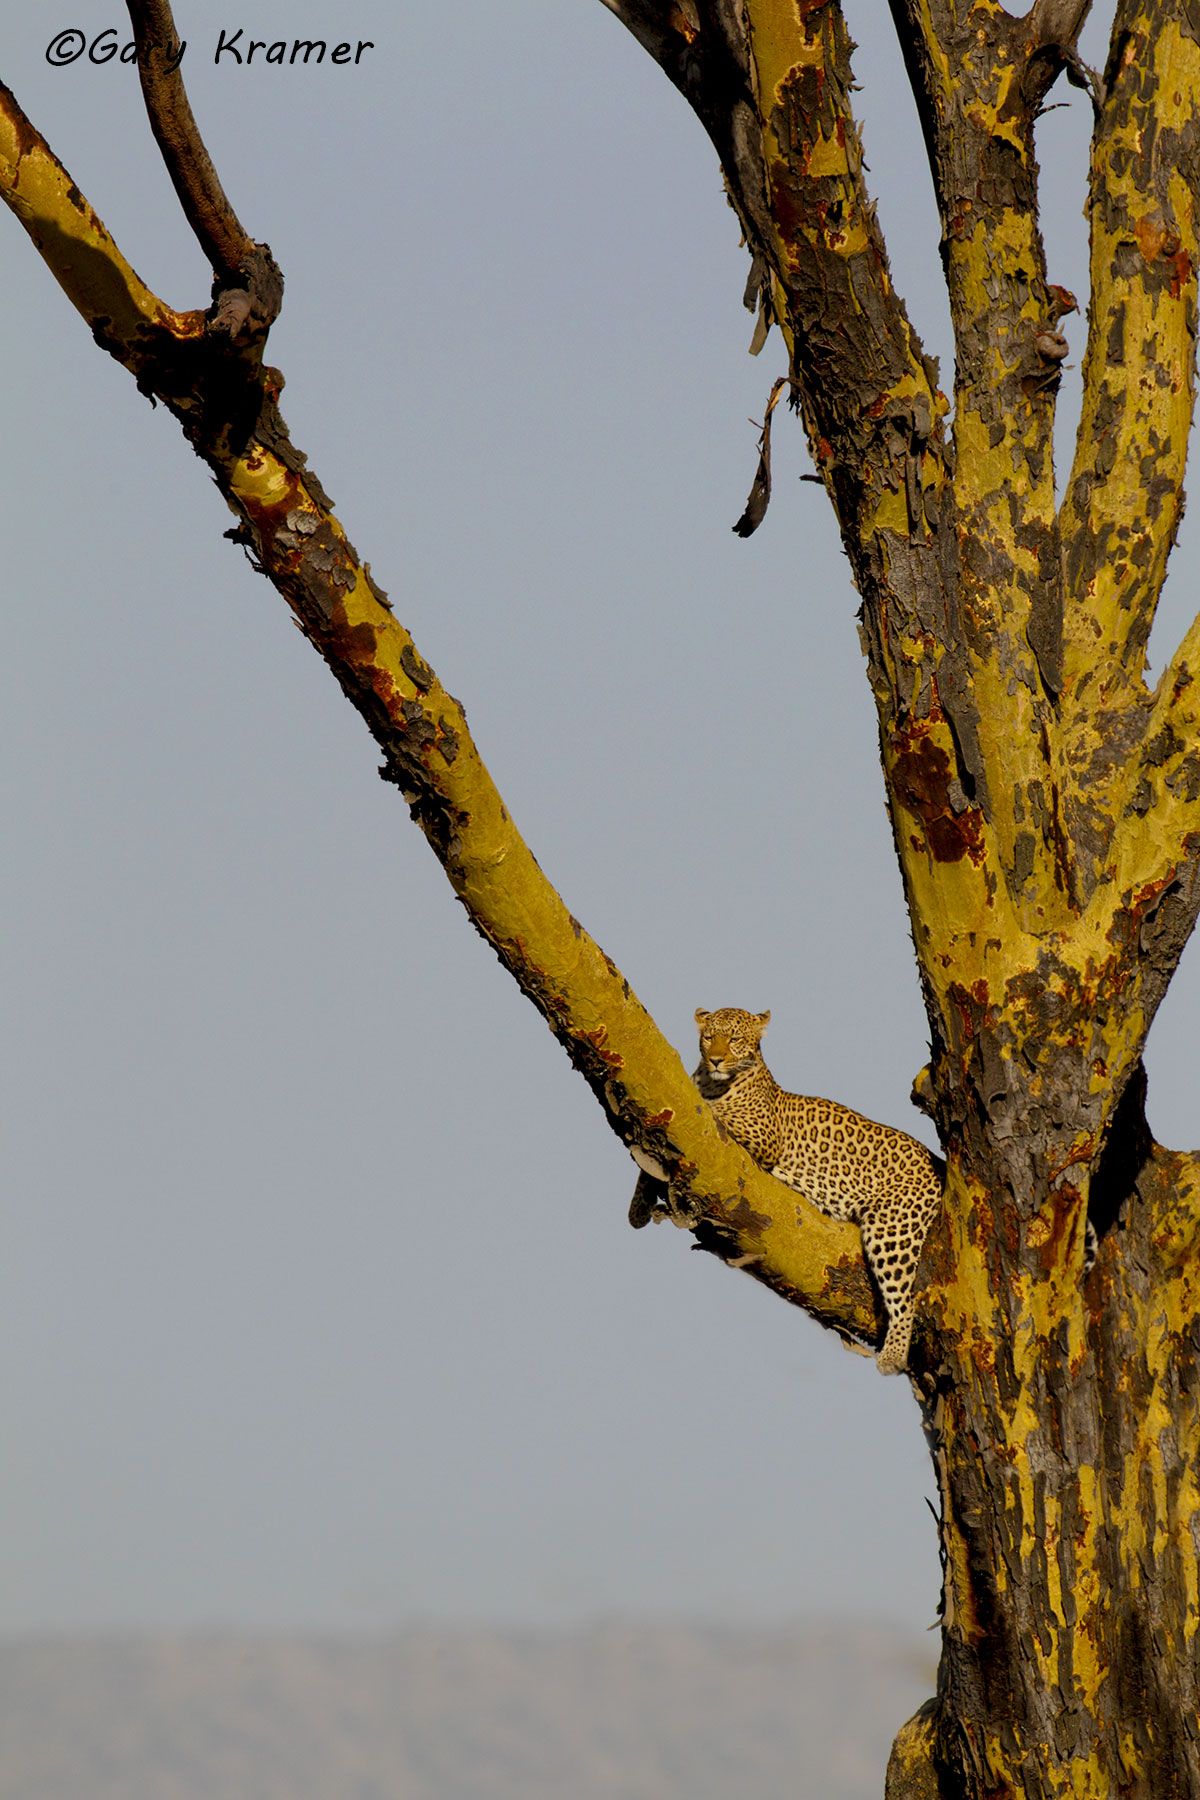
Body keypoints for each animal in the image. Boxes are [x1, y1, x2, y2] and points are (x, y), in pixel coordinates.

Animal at [633, 1007, 943, 1375]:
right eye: (709, 1037)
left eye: (734, 1039)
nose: (716, 1059)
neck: (713, 1082)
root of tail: (937, 1163)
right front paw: (638, 1207)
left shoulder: (762, 1135)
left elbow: (714, 1111)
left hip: (892, 1227)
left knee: (904, 1297)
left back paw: (893, 1355)